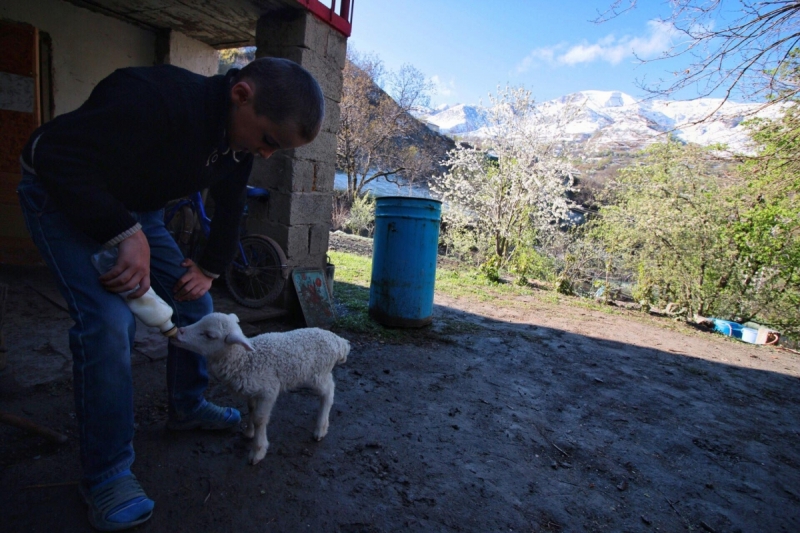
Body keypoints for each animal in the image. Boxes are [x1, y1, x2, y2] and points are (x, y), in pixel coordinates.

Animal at [170, 310, 348, 464]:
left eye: (209, 335)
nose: (178, 333)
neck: (243, 359)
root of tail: (339, 342)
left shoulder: (268, 391)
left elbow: (259, 419)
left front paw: (257, 451)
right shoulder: (252, 390)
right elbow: (251, 410)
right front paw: (249, 432)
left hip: (317, 374)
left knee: (329, 391)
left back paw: (320, 427)